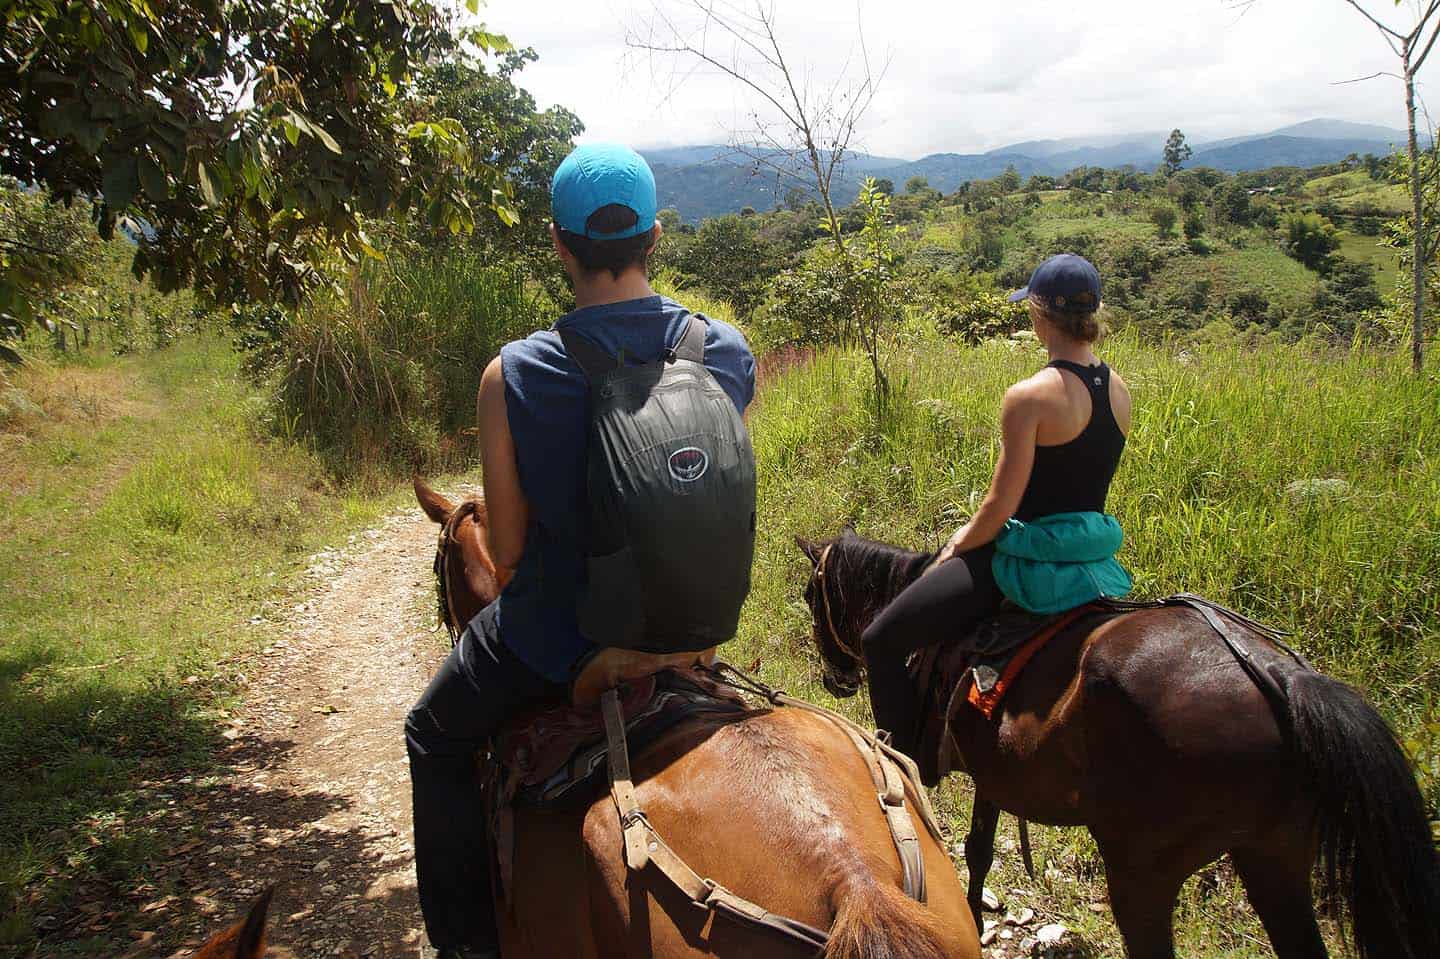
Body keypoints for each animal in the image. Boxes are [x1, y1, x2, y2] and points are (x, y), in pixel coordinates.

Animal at [794, 527, 1440, 956]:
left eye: (808, 594)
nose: (835, 678)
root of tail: (1279, 675)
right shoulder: (994, 778)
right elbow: (978, 851)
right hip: (1273, 861)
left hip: (1143, 874)